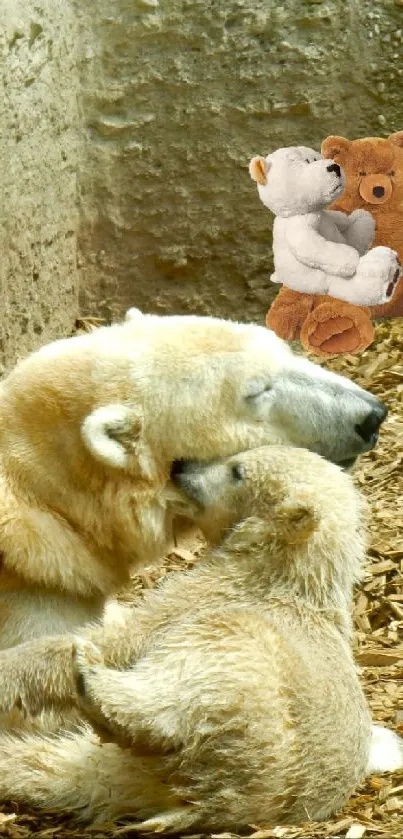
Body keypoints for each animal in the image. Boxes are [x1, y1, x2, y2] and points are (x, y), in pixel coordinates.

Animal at [0, 450, 400, 832]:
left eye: (237, 470)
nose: (181, 466)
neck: (291, 572)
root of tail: (217, 798)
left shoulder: (216, 594)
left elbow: (125, 640)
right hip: (133, 776)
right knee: (69, 770)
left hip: (247, 685)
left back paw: (91, 677)